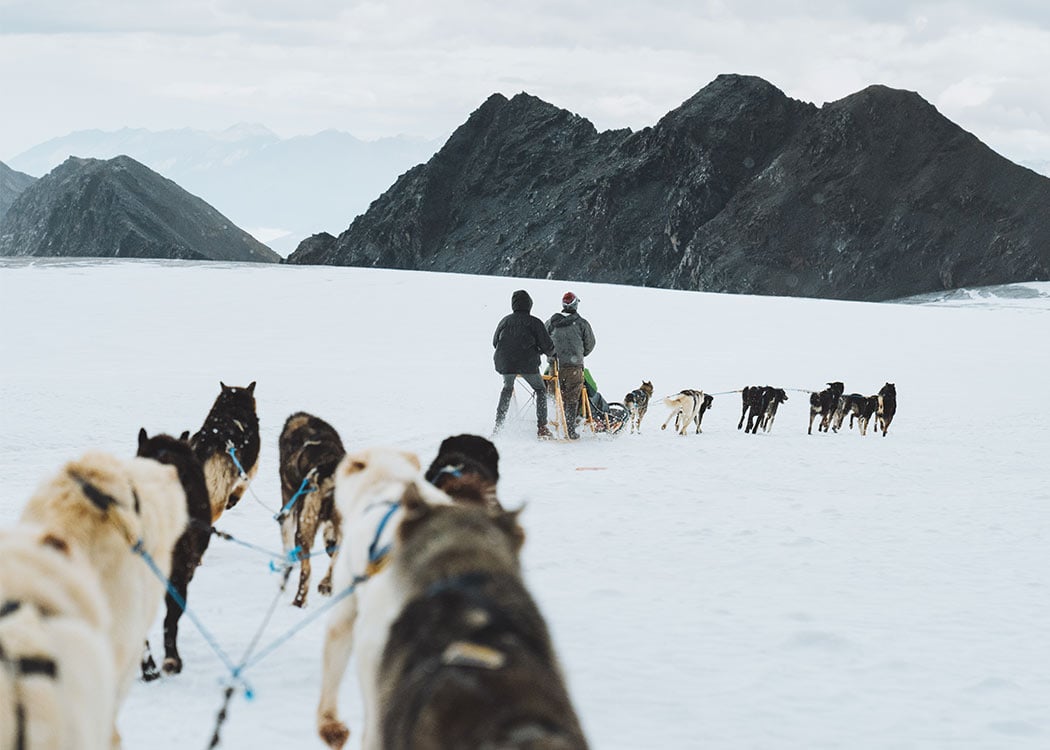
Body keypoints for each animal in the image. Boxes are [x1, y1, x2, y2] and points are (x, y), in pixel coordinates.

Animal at [277, 409, 346, 609]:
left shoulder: (287, 507)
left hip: (302, 530)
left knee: (306, 571)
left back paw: (299, 601)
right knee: (335, 557)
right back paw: (326, 584)